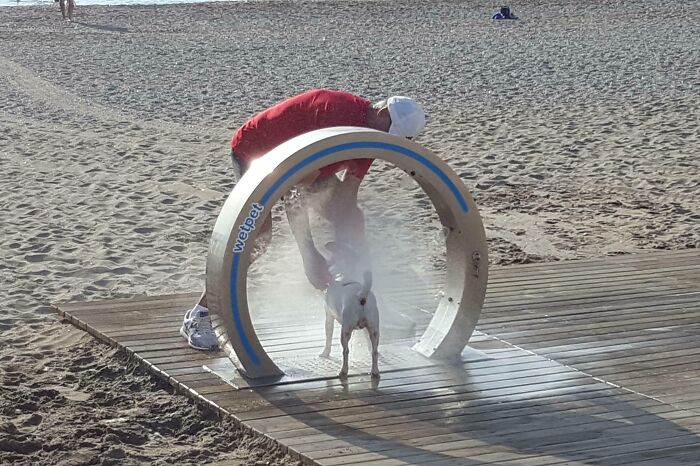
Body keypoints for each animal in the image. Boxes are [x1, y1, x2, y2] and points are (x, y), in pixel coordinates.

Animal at [320, 244, 380, 378]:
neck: (343, 273)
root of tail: (361, 296)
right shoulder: (366, 329)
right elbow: (369, 344)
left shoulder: (328, 316)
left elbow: (328, 337)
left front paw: (325, 353)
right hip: (374, 329)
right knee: (375, 351)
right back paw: (374, 371)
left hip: (345, 331)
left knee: (346, 351)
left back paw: (343, 371)